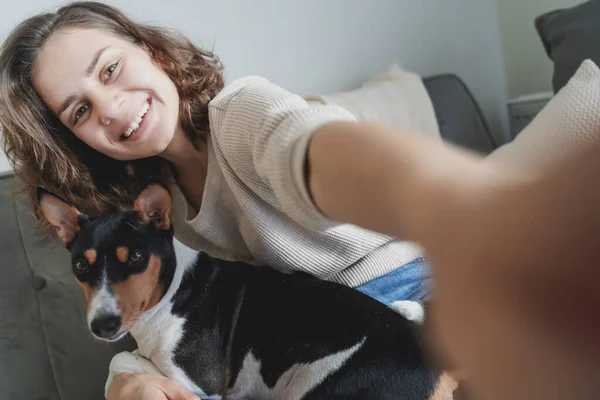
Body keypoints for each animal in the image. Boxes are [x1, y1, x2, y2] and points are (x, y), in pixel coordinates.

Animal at [37, 182, 454, 400]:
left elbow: (121, 361)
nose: (103, 326)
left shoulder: (201, 382)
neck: (169, 297)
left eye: (136, 257)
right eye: (80, 266)